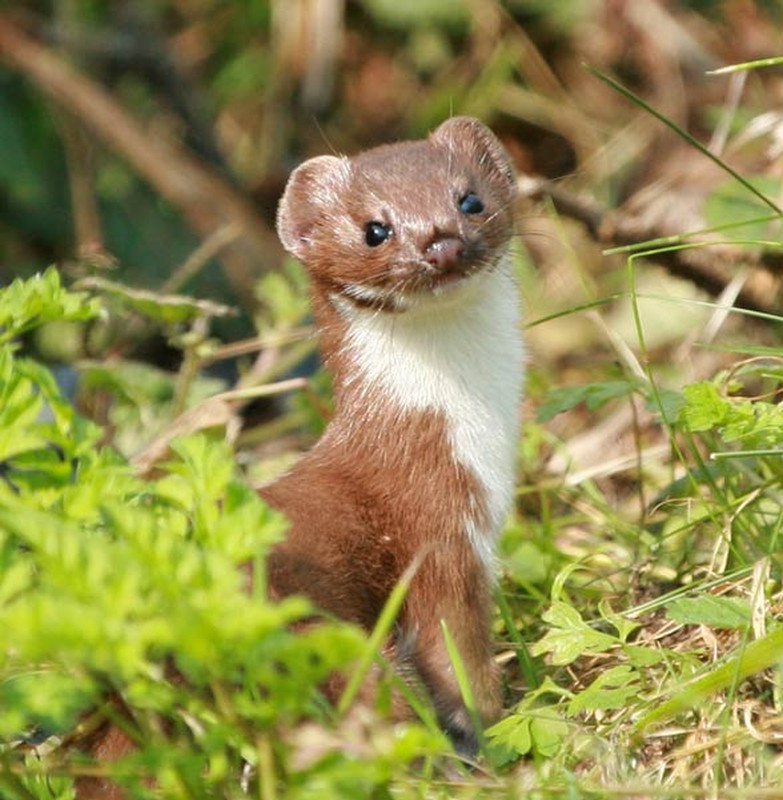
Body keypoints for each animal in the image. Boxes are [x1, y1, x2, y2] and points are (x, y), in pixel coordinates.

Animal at [260, 115, 524, 752]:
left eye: (469, 199)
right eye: (374, 229)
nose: (442, 242)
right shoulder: (437, 533)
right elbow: (453, 649)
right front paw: (491, 725)